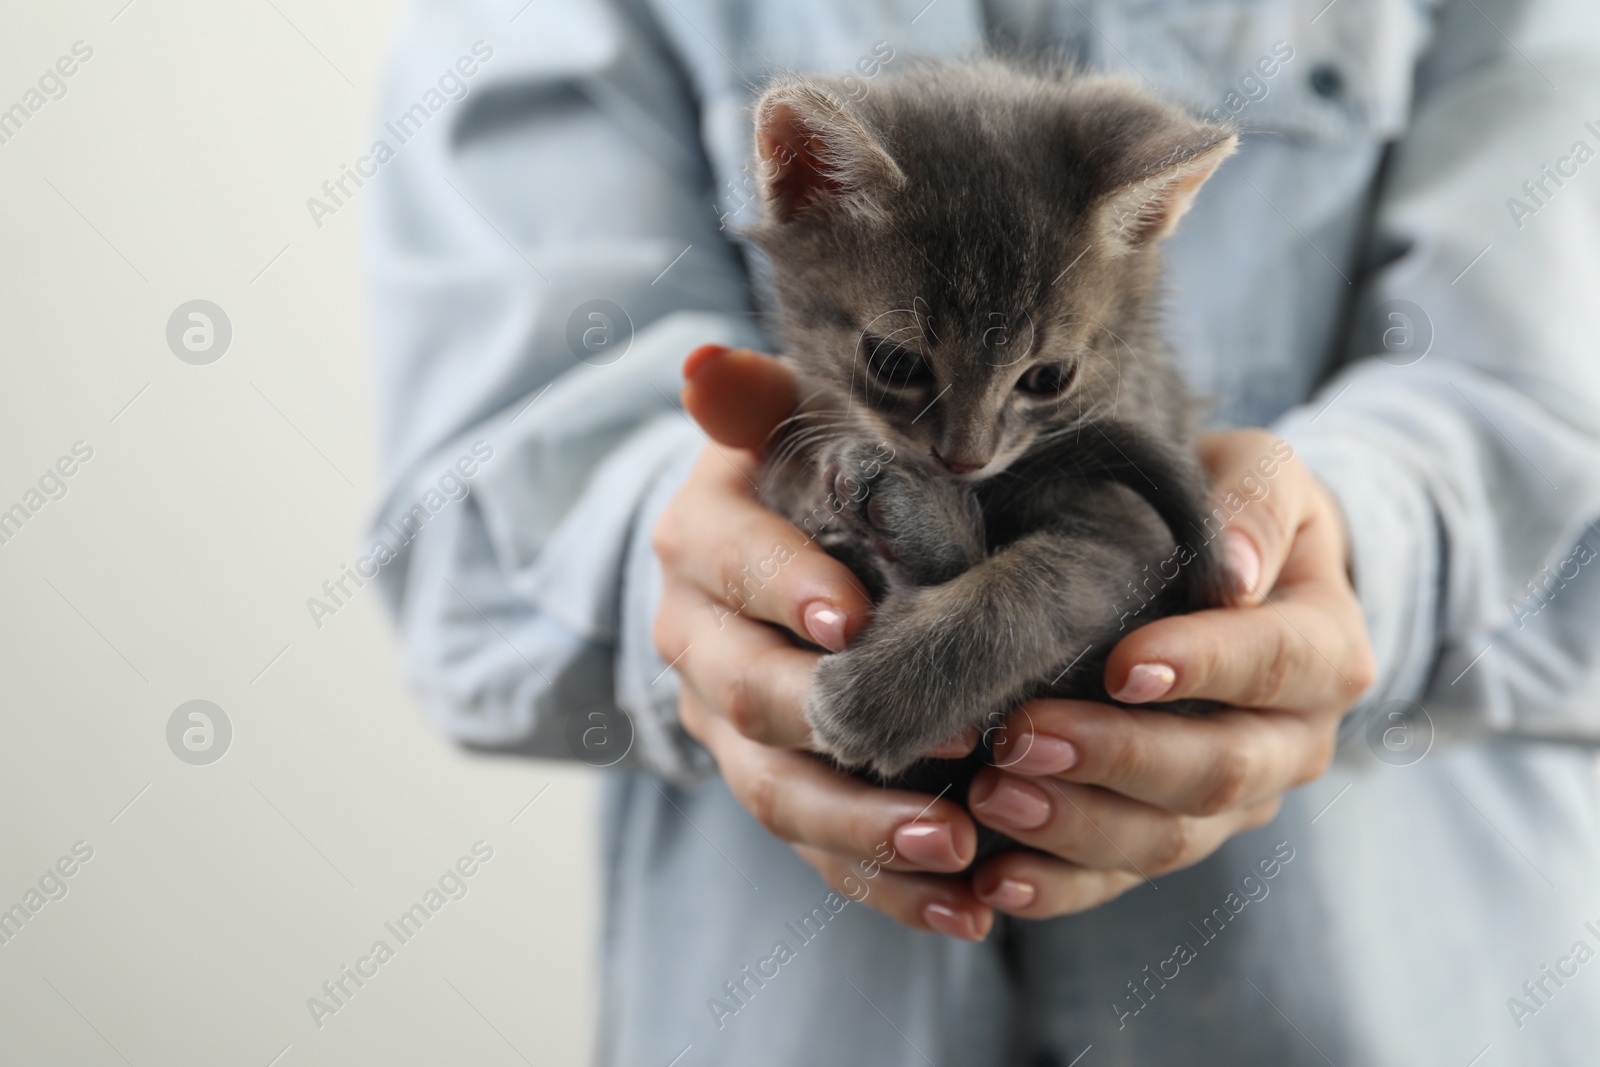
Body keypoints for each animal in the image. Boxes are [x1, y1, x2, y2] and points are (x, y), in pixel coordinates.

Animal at [745, 62, 1235, 783]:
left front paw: (881, 697)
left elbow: (1035, 591)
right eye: (896, 362)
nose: (964, 460)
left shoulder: (1140, 531)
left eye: (1050, 378)